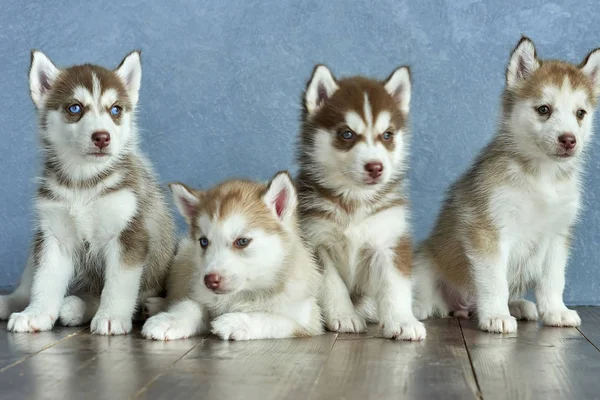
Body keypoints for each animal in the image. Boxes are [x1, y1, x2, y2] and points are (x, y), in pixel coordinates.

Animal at [0, 51, 175, 336]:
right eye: (75, 108)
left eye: (115, 110)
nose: (102, 137)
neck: (83, 183)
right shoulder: (54, 235)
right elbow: (44, 280)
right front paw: (36, 314)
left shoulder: (129, 233)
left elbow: (119, 283)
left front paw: (112, 316)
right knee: (29, 279)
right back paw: (14, 302)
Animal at [142, 172, 324, 340]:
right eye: (204, 241)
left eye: (242, 241)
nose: (210, 280)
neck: (242, 295)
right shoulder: (201, 294)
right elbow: (189, 304)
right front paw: (169, 320)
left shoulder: (308, 322)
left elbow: (273, 319)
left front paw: (236, 322)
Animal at [296, 64, 426, 340]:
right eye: (347, 134)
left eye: (387, 135)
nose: (375, 167)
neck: (355, 200)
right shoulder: (317, 242)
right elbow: (332, 285)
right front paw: (344, 316)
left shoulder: (390, 240)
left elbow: (395, 285)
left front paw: (402, 320)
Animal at [412, 36, 600, 332]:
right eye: (544, 109)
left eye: (580, 113)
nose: (569, 140)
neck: (542, 176)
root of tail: (461, 307)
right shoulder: (488, 230)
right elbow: (494, 281)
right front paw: (496, 316)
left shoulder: (558, 235)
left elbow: (553, 280)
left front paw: (556, 311)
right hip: (425, 260)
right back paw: (418, 309)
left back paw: (519, 306)